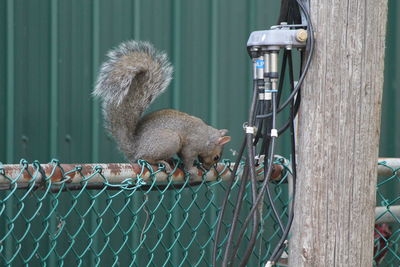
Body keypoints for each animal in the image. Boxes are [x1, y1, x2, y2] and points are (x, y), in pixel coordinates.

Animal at [92, 40, 231, 176]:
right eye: (216, 157)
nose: (208, 168)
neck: (207, 137)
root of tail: (135, 149)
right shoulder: (192, 145)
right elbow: (187, 158)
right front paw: (191, 170)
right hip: (170, 140)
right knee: (145, 158)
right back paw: (163, 162)